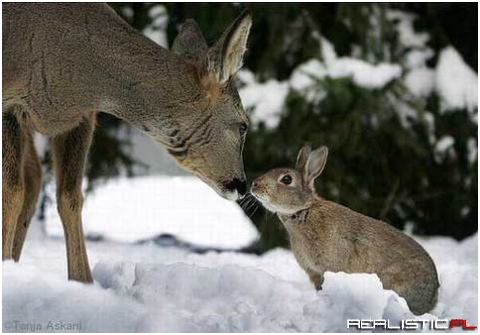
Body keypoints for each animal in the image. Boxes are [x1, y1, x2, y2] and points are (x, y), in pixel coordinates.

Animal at [1, 3, 253, 284]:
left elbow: (70, 197)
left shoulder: (81, 118)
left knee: (34, 179)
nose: (242, 185)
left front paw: (83, 282)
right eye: (243, 125)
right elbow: (11, 192)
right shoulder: (9, 103)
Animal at [253, 146, 440, 316]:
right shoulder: (314, 272)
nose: (254, 185)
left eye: (286, 179)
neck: (304, 211)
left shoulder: (328, 268)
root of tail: (433, 297)